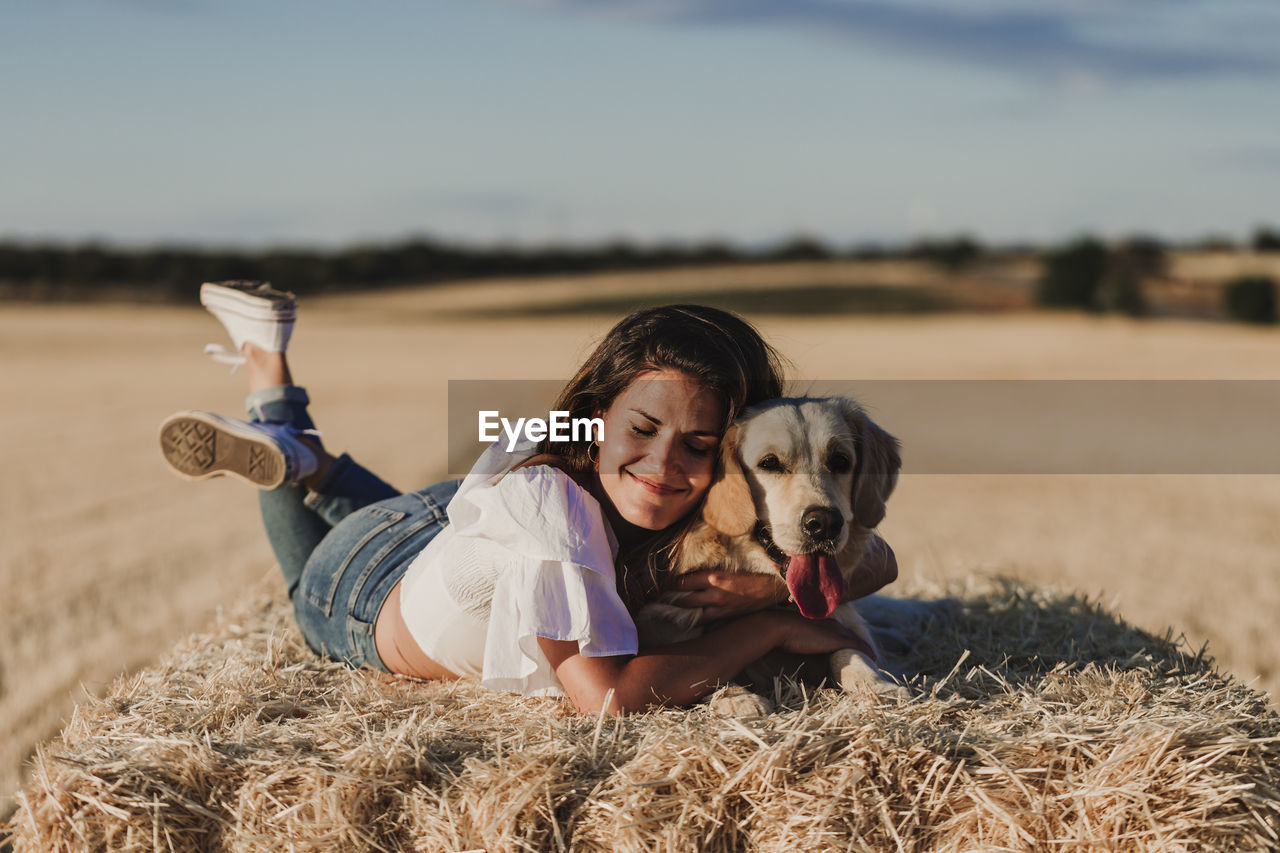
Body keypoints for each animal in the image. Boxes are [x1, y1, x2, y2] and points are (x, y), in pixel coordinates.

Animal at [634, 391, 906, 701]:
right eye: (770, 463)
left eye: (840, 460)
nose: (824, 524)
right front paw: (739, 699)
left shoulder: (843, 621)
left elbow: (851, 651)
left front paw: (878, 684)